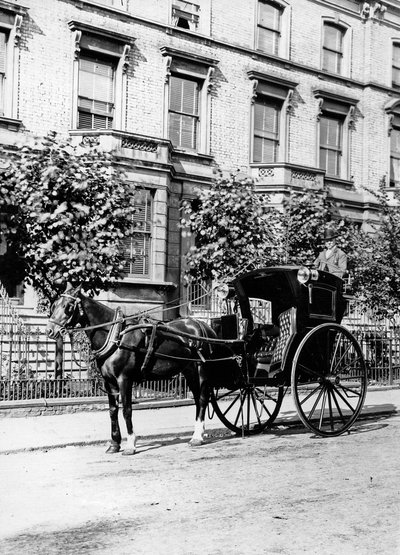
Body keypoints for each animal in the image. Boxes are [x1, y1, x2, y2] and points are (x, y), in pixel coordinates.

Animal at [47, 286, 241, 456]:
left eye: (68, 306)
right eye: (54, 305)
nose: (50, 330)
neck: (115, 335)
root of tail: (203, 326)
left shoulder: (124, 379)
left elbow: (126, 410)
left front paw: (130, 445)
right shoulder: (109, 382)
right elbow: (112, 411)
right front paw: (114, 444)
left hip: (201, 370)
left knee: (202, 399)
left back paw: (197, 437)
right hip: (189, 370)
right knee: (198, 399)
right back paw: (197, 433)